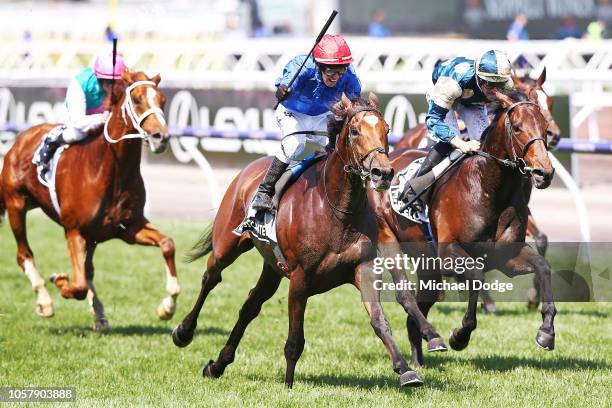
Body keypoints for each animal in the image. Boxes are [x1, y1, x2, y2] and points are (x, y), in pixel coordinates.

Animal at [0, 70, 180, 332]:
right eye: (137, 99)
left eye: (163, 100)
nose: (161, 137)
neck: (110, 169)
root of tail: (21, 138)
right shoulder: (74, 230)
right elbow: (79, 284)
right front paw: (60, 282)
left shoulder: (129, 227)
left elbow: (167, 244)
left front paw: (167, 307)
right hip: (16, 205)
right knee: (24, 254)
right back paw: (45, 302)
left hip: (92, 235)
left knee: (88, 270)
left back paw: (99, 316)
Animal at [172, 94, 444, 388]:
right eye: (355, 131)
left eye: (387, 129)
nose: (382, 172)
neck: (337, 209)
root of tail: (248, 170)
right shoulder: (300, 278)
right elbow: (295, 340)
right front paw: (288, 385)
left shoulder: (364, 267)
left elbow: (379, 320)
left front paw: (405, 370)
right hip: (227, 245)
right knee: (211, 277)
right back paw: (183, 332)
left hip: (272, 267)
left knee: (250, 305)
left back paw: (218, 365)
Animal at [370, 91, 556, 368]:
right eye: (518, 127)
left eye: (544, 126)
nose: (544, 172)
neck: (489, 187)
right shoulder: (448, 254)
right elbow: (477, 276)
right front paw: (460, 335)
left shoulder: (507, 258)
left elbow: (543, 266)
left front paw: (546, 331)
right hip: (389, 236)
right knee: (407, 295)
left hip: (427, 265)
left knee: (421, 305)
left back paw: (420, 356)